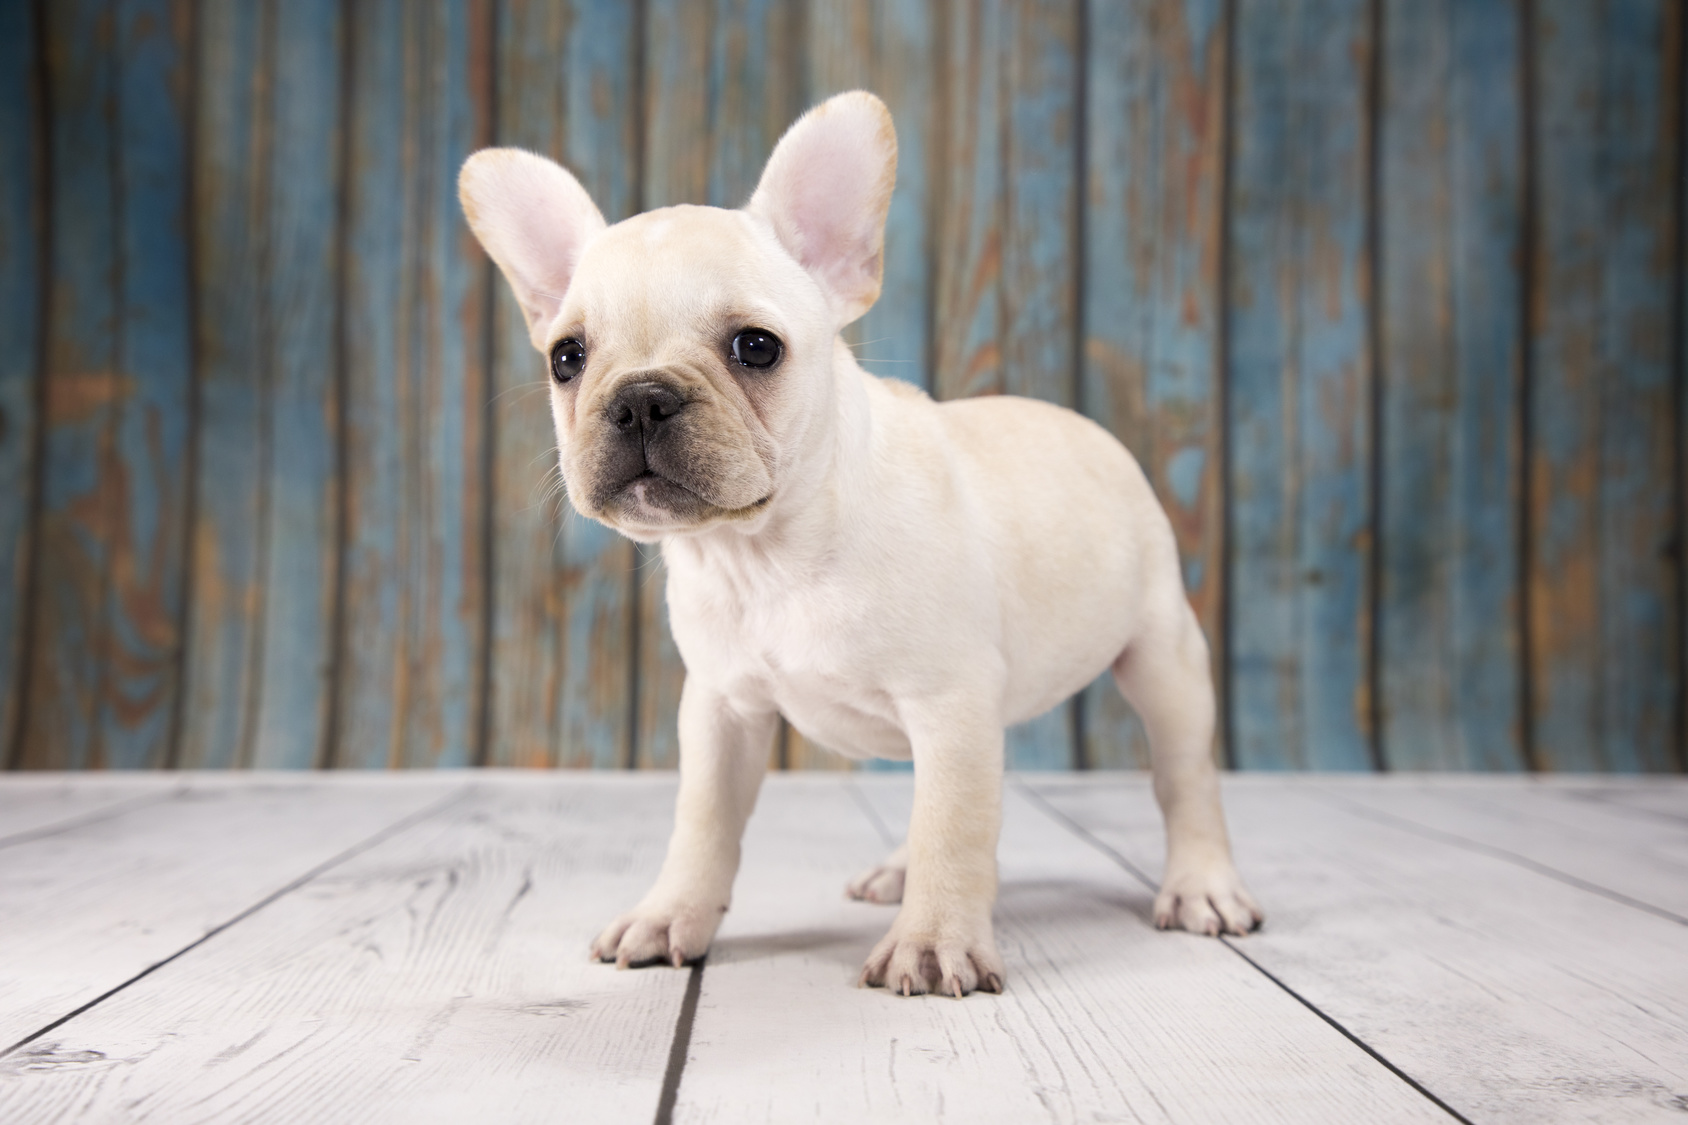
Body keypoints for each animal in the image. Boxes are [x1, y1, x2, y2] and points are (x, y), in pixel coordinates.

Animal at [455, 92, 1262, 993]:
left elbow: (955, 826)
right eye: (567, 357)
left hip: (1162, 653)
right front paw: (671, 914)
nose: (638, 398)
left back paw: (1201, 885)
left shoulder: (949, 702)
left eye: (756, 346)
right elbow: (702, 824)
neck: (767, 550)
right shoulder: (723, 709)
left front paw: (936, 940)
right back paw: (897, 872)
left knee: (1183, 777)